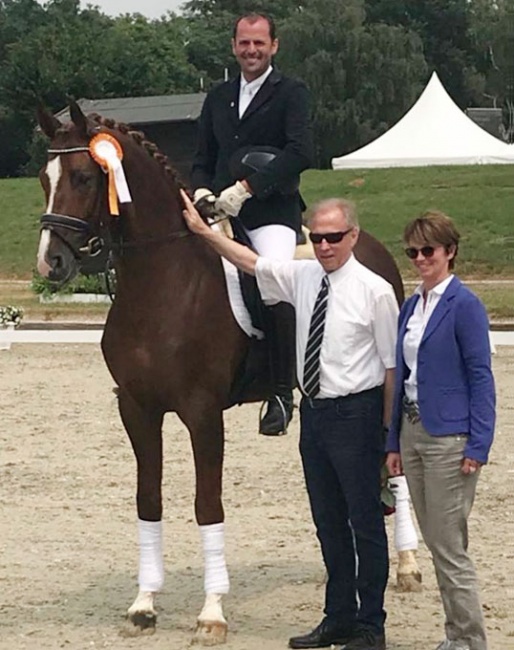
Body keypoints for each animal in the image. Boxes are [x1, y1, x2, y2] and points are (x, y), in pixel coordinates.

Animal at [36, 102, 418, 644]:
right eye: (44, 178)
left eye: (85, 177)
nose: (50, 263)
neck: (163, 283)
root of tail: (373, 247)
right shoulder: (136, 409)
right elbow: (148, 500)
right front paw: (143, 604)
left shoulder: (202, 412)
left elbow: (206, 504)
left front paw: (211, 613)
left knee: (394, 470)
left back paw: (408, 567)